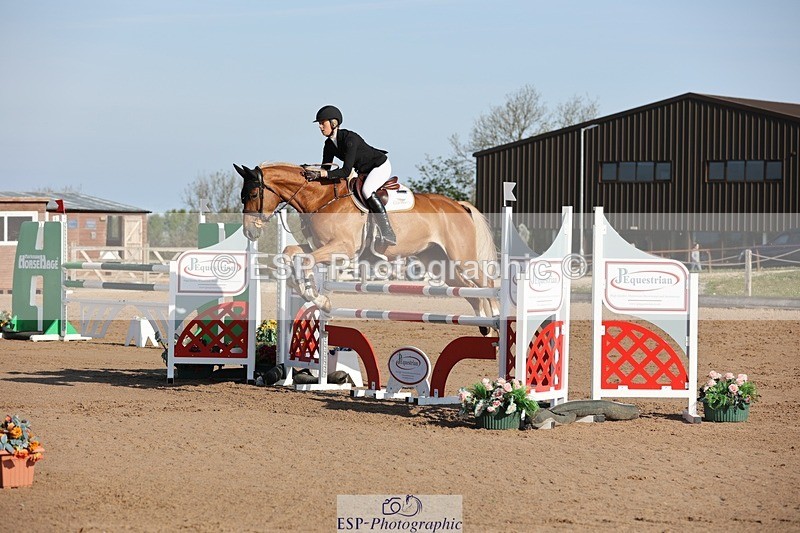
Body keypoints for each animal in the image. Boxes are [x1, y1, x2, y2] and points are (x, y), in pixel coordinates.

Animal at [235, 162, 498, 333]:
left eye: (253, 194)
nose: (249, 232)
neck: (321, 199)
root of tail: (459, 205)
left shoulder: (342, 249)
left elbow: (304, 261)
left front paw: (318, 298)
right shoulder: (319, 247)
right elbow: (290, 254)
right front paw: (310, 293)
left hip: (461, 257)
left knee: (487, 283)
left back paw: (496, 319)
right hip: (438, 262)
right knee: (470, 291)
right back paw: (483, 325)